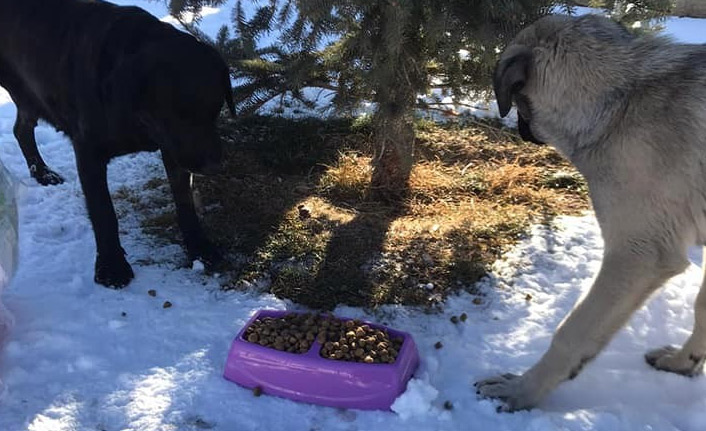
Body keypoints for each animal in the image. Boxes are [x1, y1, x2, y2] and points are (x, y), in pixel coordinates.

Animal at [0, 0, 234, 290]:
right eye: (178, 113)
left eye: (216, 109)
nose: (214, 166)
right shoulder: (89, 152)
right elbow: (104, 212)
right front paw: (112, 267)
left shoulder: (172, 150)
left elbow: (185, 202)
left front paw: (200, 248)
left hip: (30, 96)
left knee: (21, 129)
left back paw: (43, 173)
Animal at [472, 13, 704, 412]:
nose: (518, 131)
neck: (620, 101)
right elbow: (703, 308)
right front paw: (682, 363)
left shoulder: (638, 255)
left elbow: (572, 331)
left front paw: (522, 391)